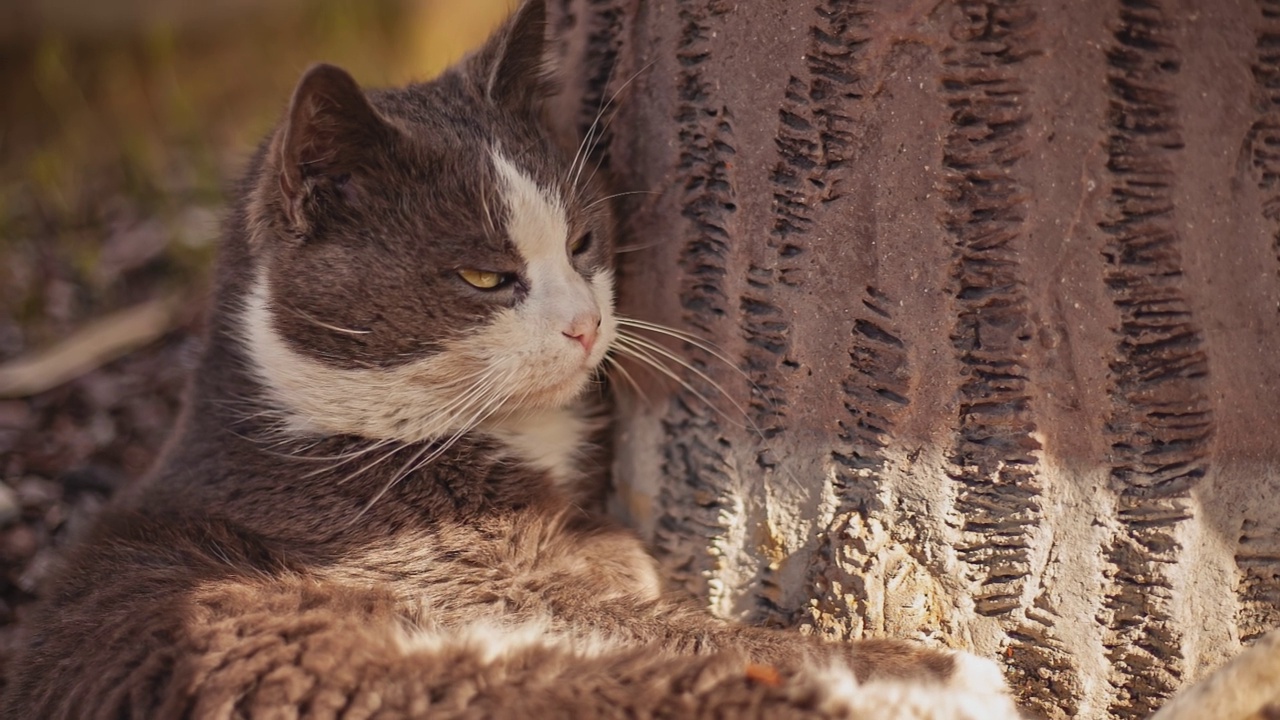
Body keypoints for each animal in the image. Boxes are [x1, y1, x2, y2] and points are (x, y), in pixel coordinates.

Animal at [0, 2, 1018, 712]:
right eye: (486, 277)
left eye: (583, 241)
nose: (583, 323)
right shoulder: (448, 572)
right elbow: (686, 630)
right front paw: (930, 667)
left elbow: (621, 568)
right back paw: (943, 681)